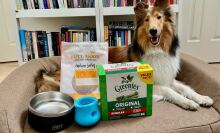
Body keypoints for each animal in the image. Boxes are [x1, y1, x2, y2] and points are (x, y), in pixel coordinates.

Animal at [37, 0, 213, 110]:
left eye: (159, 17)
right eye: (147, 20)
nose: (153, 31)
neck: (155, 50)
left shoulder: (167, 77)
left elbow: (186, 88)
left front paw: (203, 98)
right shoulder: (155, 83)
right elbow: (171, 92)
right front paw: (188, 103)